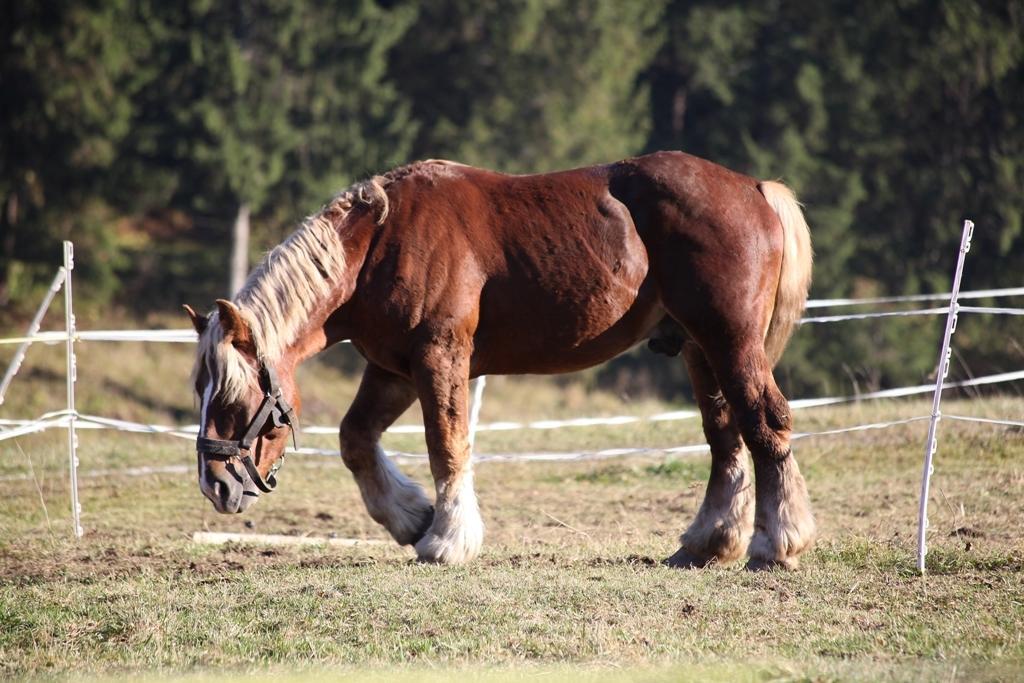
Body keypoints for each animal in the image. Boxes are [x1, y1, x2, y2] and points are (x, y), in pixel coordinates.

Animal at [186, 152, 815, 569]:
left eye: (234, 397)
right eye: (200, 391)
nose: (215, 485)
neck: (379, 243)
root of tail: (754, 187)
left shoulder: (439, 358)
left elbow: (447, 445)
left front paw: (446, 540)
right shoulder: (393, 369)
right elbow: (356, 439)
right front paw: (412, 518)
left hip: (729, 342)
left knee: (765, 424)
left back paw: (775, 544)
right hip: (698, 350)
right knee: (726, 436)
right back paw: (709, 543)